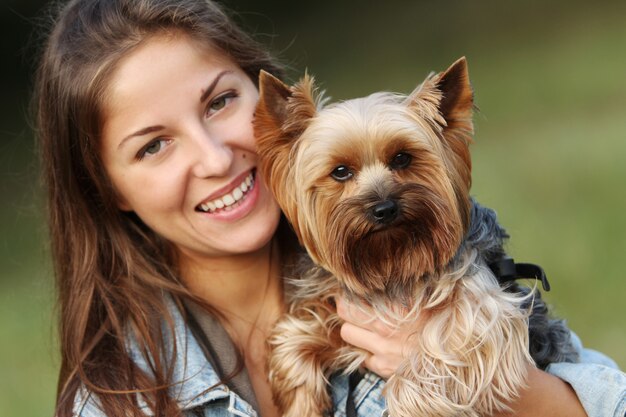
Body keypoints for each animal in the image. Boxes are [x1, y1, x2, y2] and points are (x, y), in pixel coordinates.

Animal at [252, 58, 576, 416]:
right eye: (340, 171)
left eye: (402, 158)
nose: (383, 208)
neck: (394, 263)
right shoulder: (340, 312)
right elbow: (293, 338)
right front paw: (301, 405)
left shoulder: (482, 312)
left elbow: (439, 360)